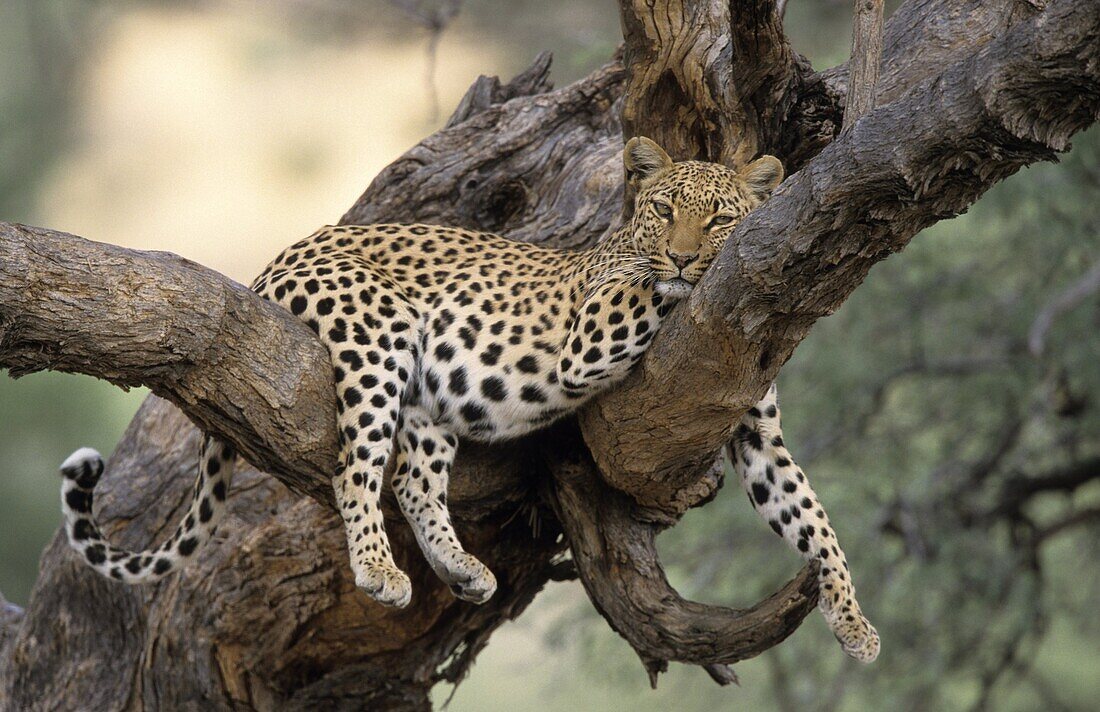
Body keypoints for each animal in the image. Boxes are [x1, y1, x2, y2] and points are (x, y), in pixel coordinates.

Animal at [62, 138, 884, 664]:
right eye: (661, 210)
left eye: (716, 217)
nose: (684, 255)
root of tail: (280, 255)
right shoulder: (591, 331)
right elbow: (647, 292)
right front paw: (676, 276)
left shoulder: (757, 435)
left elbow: (814, 521)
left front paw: (853, 622)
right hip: (376, 334)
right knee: (356, 467)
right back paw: (379, 568)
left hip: (429, 399)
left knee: (411, 476)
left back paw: (460, 569)